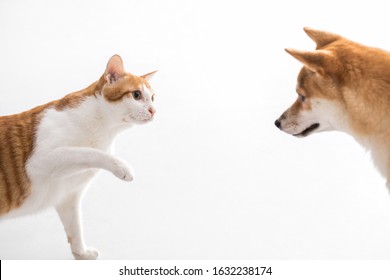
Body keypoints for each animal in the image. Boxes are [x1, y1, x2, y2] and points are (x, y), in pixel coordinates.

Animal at [0, 55, 155, 260]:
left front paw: (81, 253)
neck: (104, 129)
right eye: (136, 95)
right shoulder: (41, 160)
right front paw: (121, 167)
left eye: (153, 98)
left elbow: (75, 228)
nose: (154, 110)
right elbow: (87, 152)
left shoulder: (68, 196)